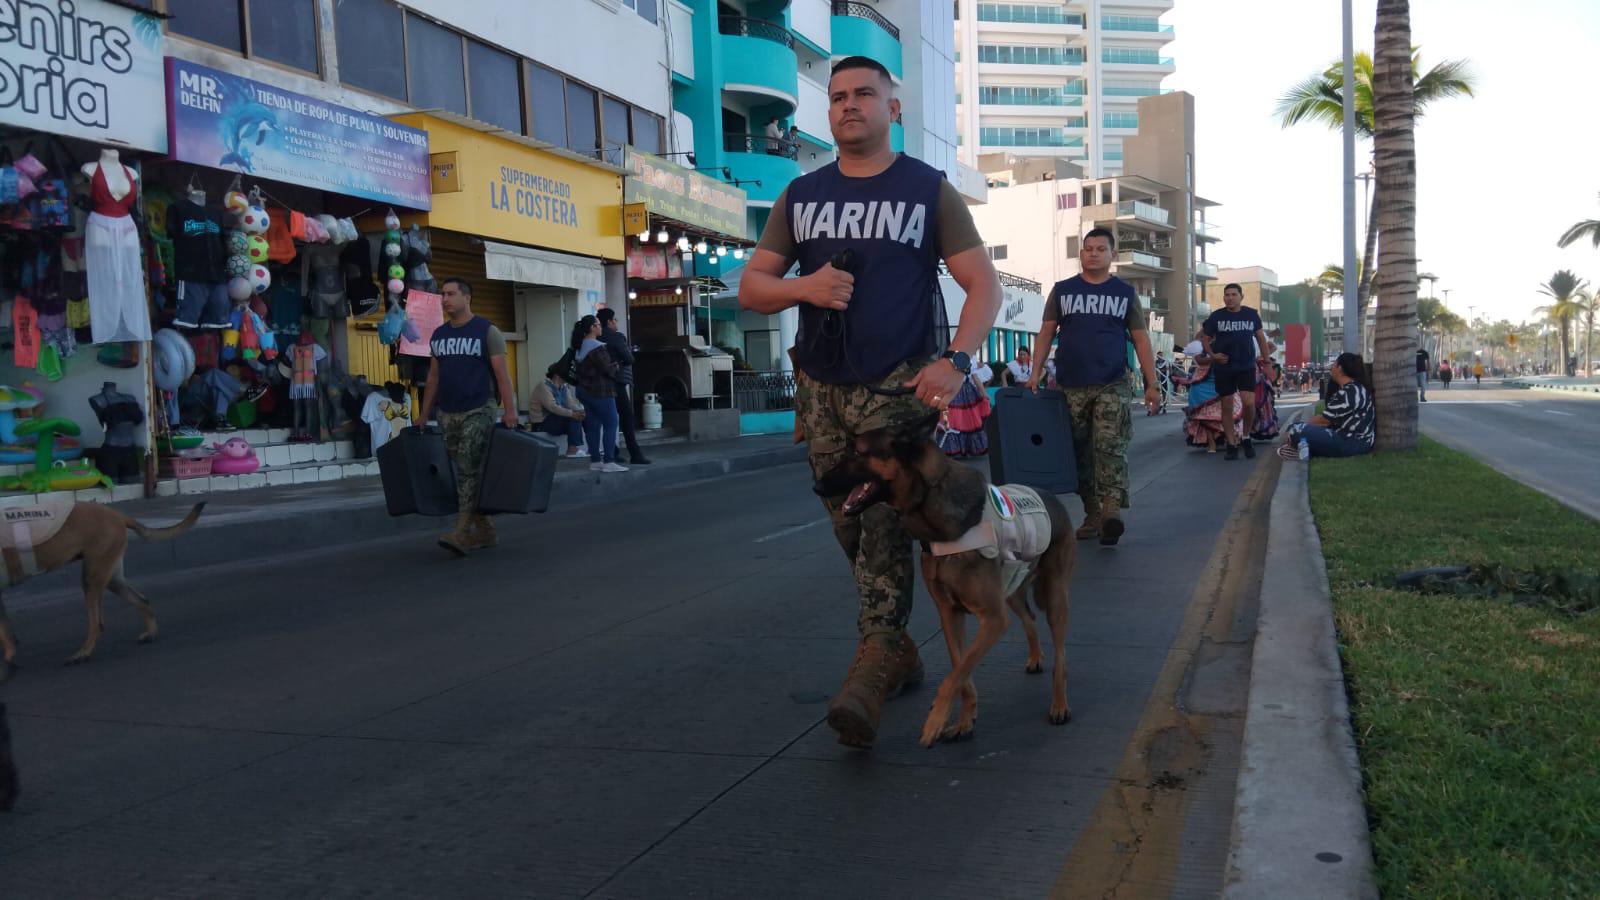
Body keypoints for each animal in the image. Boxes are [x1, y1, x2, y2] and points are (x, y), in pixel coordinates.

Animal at [812, 413, 1075, 743]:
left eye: (858, 452)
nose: (817, 486)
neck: (930, 502)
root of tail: (1049, 495)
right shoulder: (951, 615)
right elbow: (960, 671)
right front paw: (964, 720)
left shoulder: (993, 619)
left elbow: (954, 676)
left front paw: (935, 721)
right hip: (1012, 590)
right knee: (1028, 617)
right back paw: (1036, 657)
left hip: (1054, 600)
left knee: (1061, 657)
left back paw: (1059, 703)